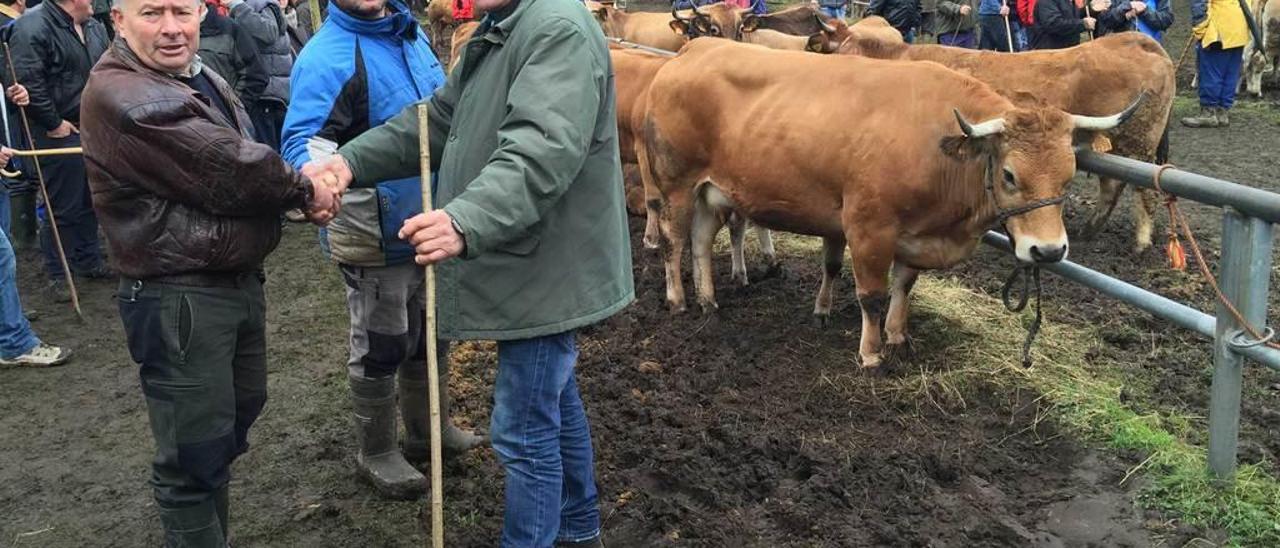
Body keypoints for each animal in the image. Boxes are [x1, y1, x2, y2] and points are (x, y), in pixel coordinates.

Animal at [640, 40, 1141, 371]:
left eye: (1070, 175)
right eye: (1010, 175)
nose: (1049, 251)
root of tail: (693, 49)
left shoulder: (914, 236)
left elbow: (904, 286)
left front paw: (899, 336)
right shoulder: (868, 228)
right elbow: (872, 295)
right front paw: (871, 352)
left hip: (712, 192)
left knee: (702, 243)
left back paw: (709, 300)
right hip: (676, 185)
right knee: (674, 242)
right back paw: (678, 299)